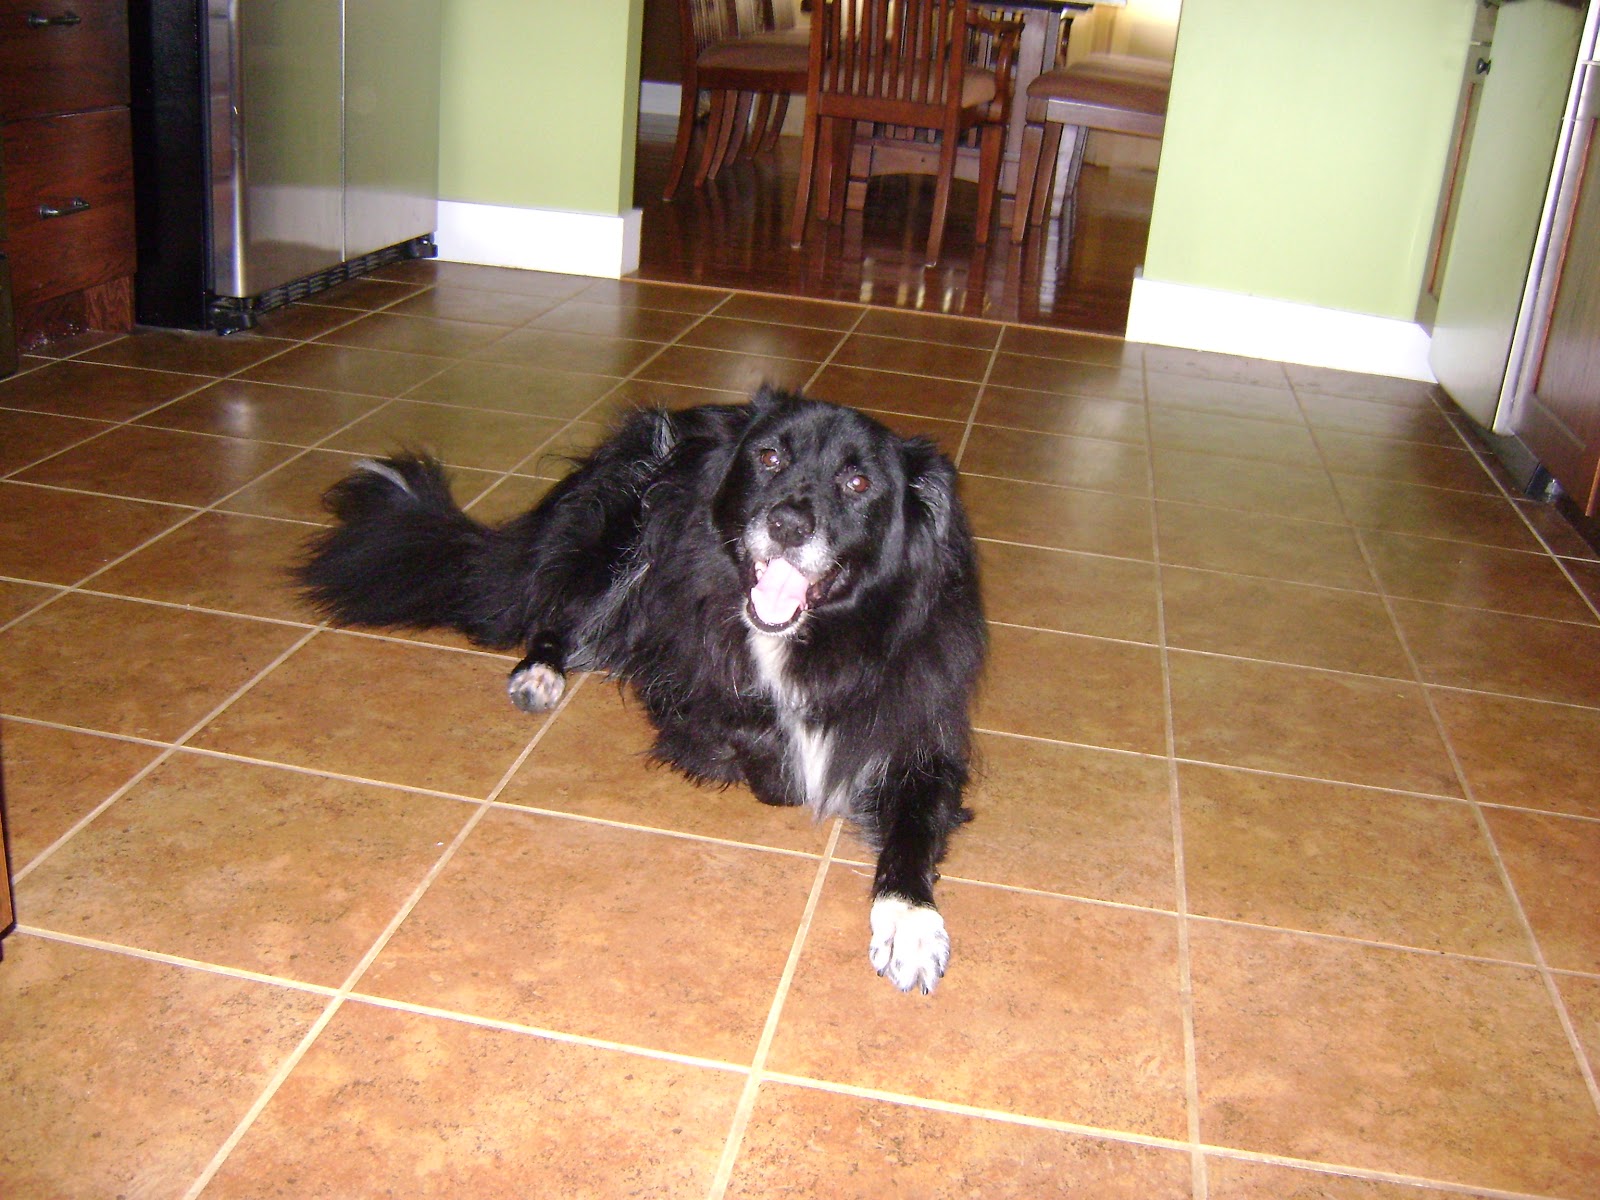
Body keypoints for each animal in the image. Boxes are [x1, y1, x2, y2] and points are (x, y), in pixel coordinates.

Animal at [298, 386, 986, 993]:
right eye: (769, 458)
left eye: (858, 484)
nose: (787, 524)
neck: (823, 639)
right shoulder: (685, 681)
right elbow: (767, 753)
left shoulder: (923, 737)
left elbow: (911, 830)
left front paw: (910, 924)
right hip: (619, 524)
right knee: (557, 614)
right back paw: (540, 671)